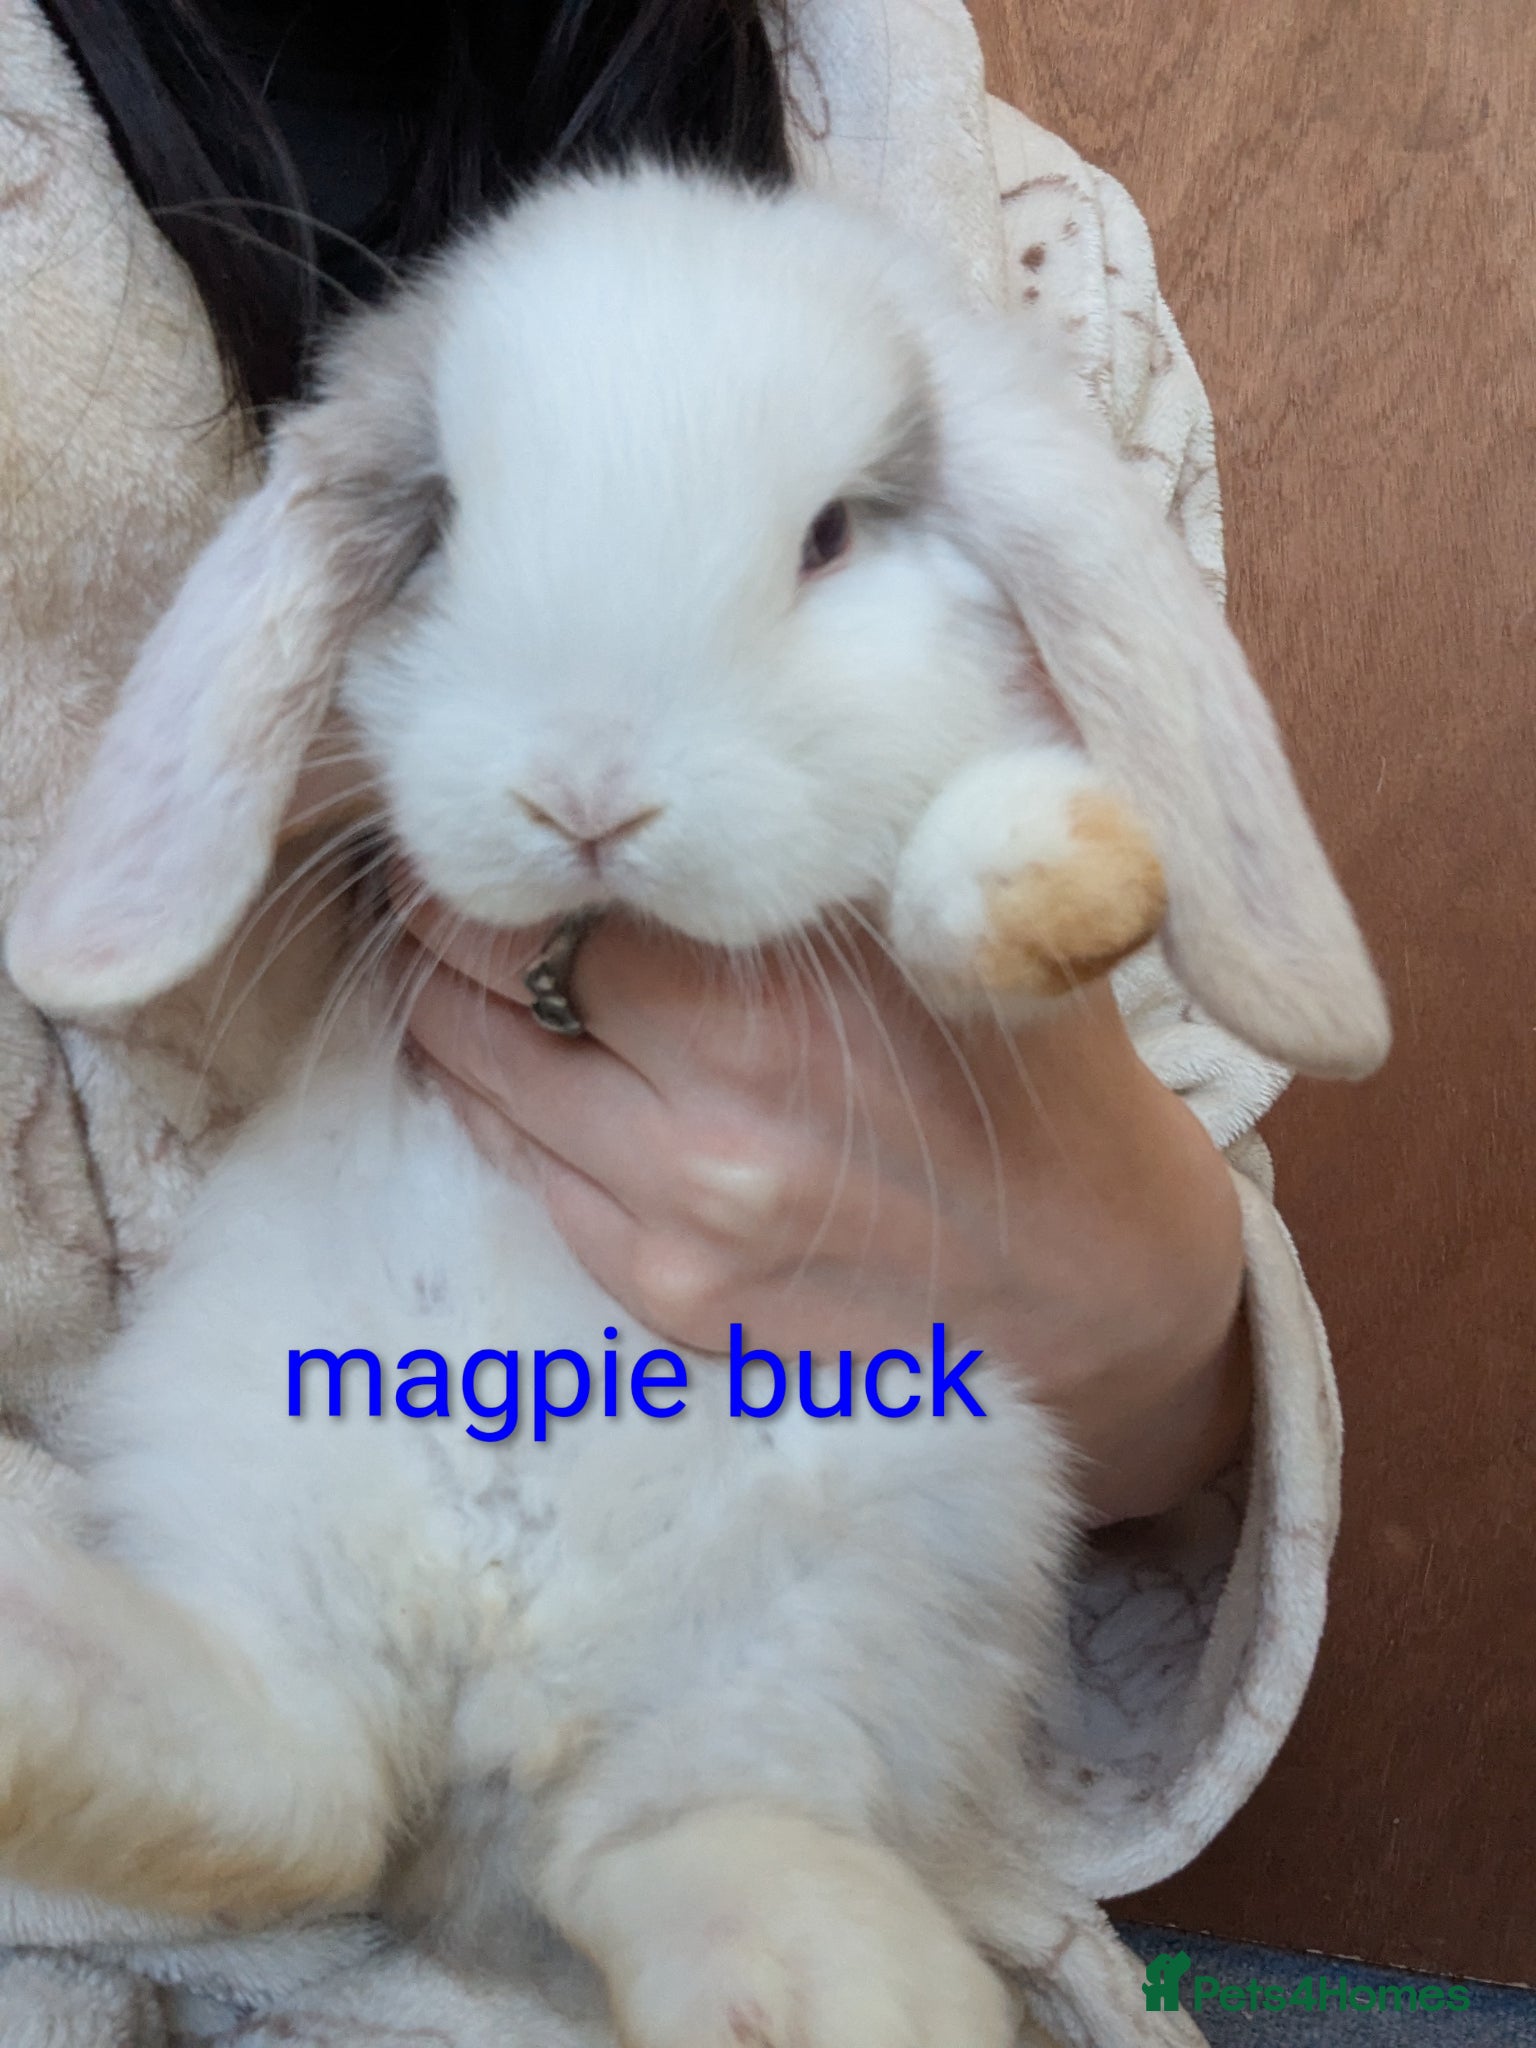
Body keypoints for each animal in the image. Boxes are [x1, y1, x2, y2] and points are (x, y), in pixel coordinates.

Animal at [0, 163, 1388, 2048]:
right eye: (446, 523)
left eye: (830, 537)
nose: (585, 794)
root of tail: (501, 1712)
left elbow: (968, 894)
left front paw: (1058, 872)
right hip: (266, 1476)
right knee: (300, 1783)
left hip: (835, 1619)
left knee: (622, 1836)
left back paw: (864, 1995)